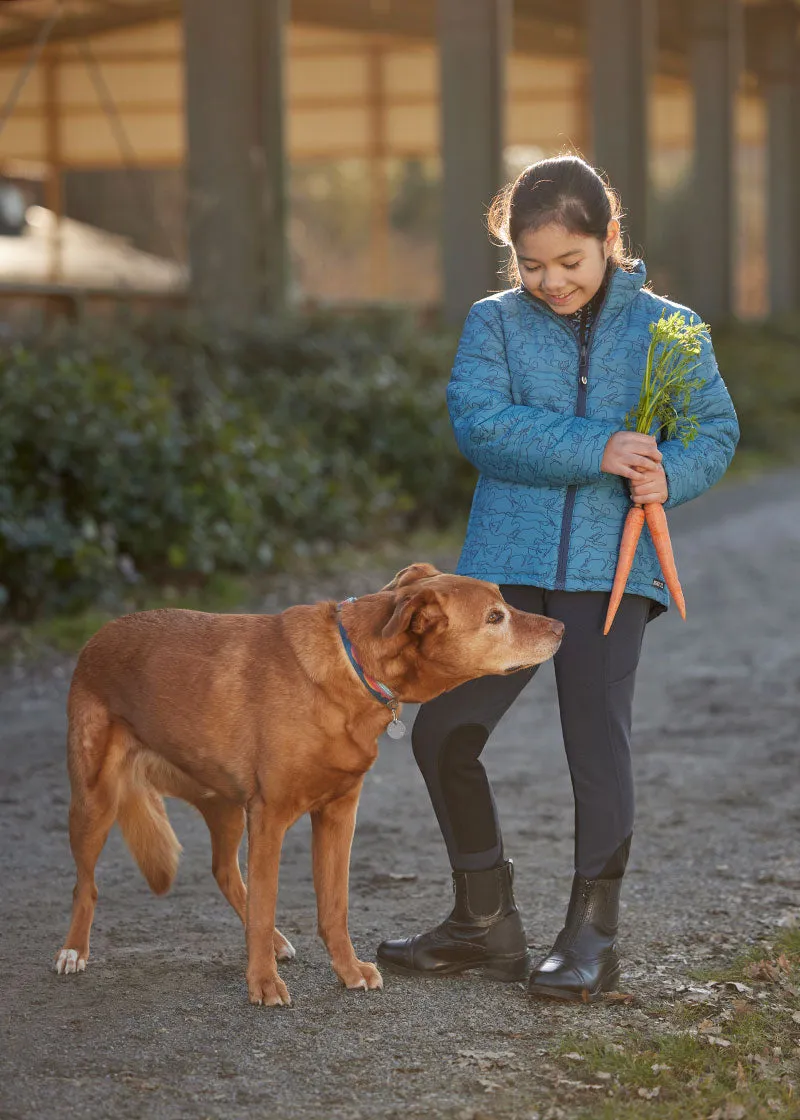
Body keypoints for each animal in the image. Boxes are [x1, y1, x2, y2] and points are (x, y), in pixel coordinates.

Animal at [56, 560, 560, 1008]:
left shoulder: (338, 813)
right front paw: (262, 983)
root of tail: (99, 635)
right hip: (94, 799)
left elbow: (334, 907)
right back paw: (74, 950)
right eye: (495, 617)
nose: (560, 627)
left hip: (224, 805)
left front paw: (348, 970)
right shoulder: (269, 817)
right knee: (85, 885)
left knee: (224, 871)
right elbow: (265, 906)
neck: (354, 666)